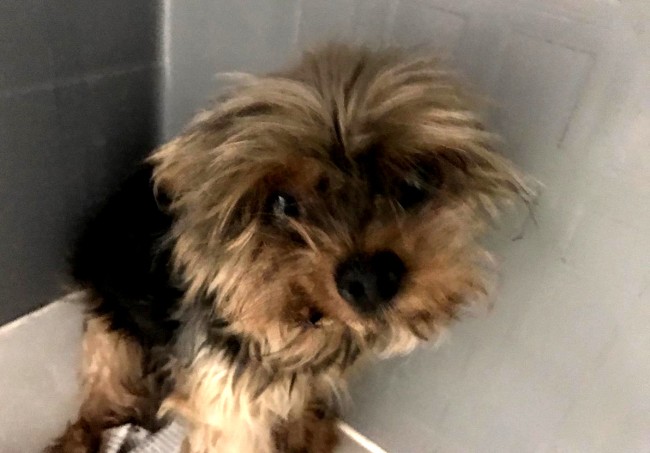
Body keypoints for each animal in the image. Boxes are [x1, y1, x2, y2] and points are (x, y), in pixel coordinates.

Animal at [48, 43, 531, 452]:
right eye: (282, 203)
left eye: (415, 184)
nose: (372, 280)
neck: (298, 334)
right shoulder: (227, 398)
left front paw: (308, 433)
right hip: (112, 324)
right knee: (104, 391)